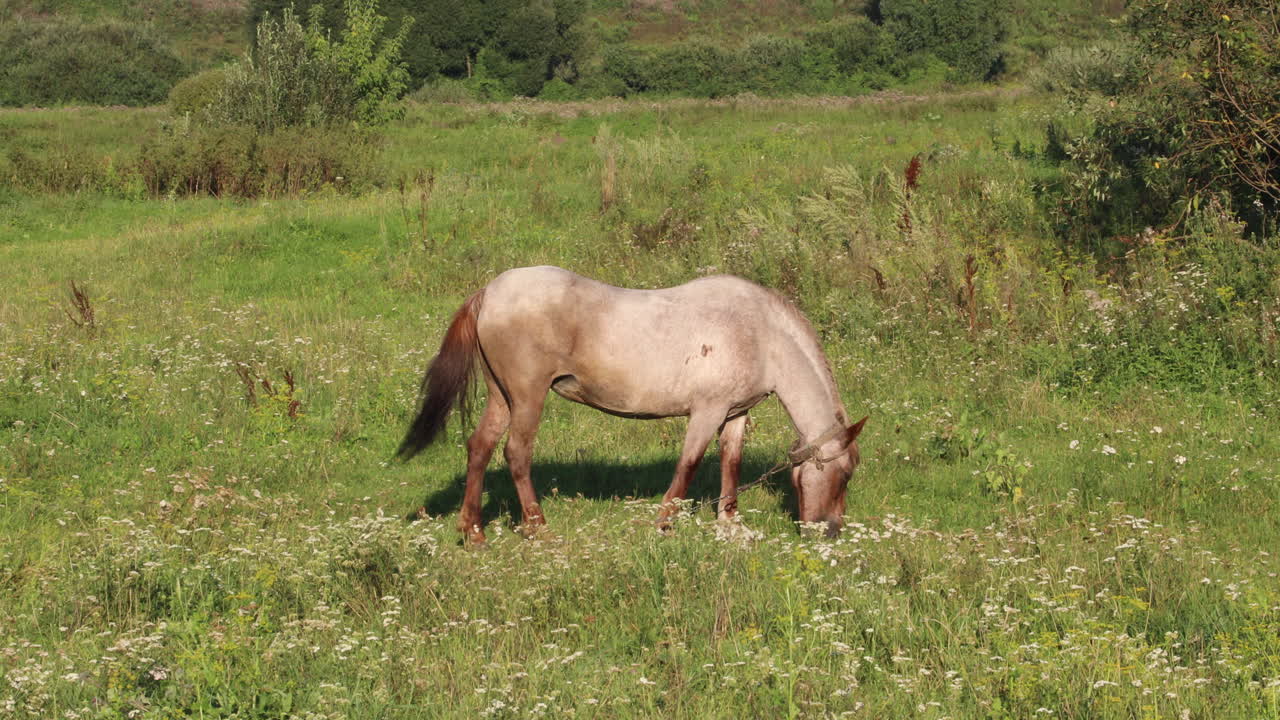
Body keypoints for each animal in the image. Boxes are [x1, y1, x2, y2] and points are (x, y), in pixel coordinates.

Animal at [397, 266, 867, 543]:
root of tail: (489, 292)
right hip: (528, 397)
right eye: (844, 475)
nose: (830, 532)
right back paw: (538, 528)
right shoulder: (707, 412)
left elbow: (730, 464)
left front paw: (729, 523)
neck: (761, 333)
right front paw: (663, 523)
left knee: (480, 448)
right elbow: (688, 466)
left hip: (502, 397)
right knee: (516, 453)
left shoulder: (735, 414)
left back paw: (473, 531)